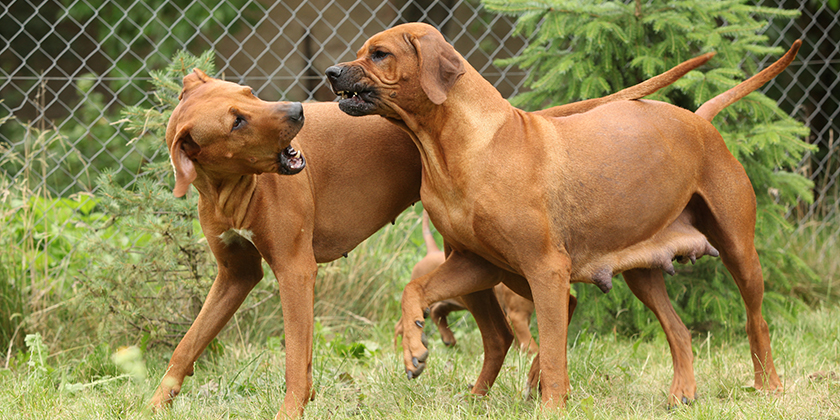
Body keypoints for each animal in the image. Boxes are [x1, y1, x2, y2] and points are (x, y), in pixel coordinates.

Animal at [151, 55, 708, 416]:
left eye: (248, 94)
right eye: (237, 120)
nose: (297, 112)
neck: (230, 187)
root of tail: (522, 119)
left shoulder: (295, 270)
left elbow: (294, 357)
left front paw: (292, 407)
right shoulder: (236, 276)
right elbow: (188, 344)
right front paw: (159, 400)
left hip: (510, 264)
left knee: (554, 306)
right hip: (475, 260)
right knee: (502, 332)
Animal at [326, 21, 800, 408]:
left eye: (379, 53)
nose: (331, 73)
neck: (461, 146)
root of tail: (700, 119)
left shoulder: (546, 267)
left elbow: (553, 348)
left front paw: (552, 404)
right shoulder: (474, 263)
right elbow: (414, 291)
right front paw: (413, 348)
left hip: (739, 250)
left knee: (756, 321)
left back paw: (769, 386)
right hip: (628, 271)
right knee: (677, 330)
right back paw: (681, 392)